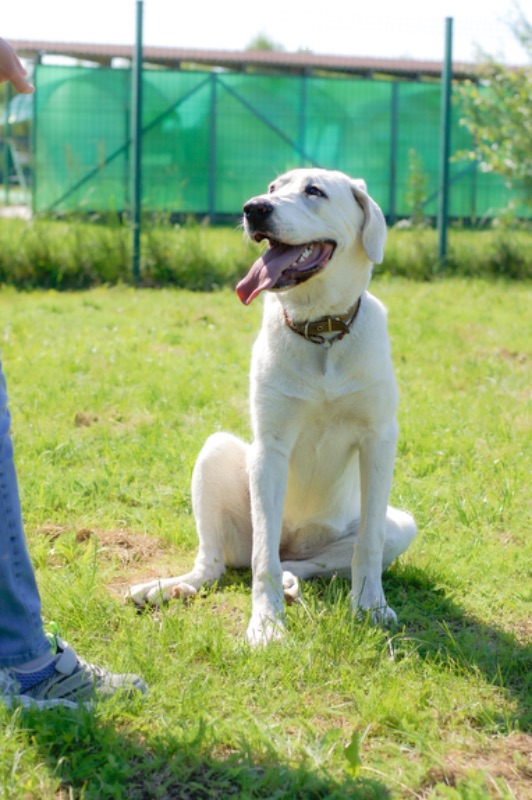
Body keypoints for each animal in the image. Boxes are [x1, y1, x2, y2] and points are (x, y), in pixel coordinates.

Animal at [128, 167, 416, 644]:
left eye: (314, 191)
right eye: (272, 189)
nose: (253, 209)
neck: (322, 332)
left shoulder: (379, 440)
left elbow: (369, 543)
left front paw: (371, 607)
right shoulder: (270, 447)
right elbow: (263, 556)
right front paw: (266, 624)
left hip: (400, 524)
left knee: (311, 562)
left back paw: (294, 577)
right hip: (216, 454)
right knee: (223, 564)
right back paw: (170, 587)